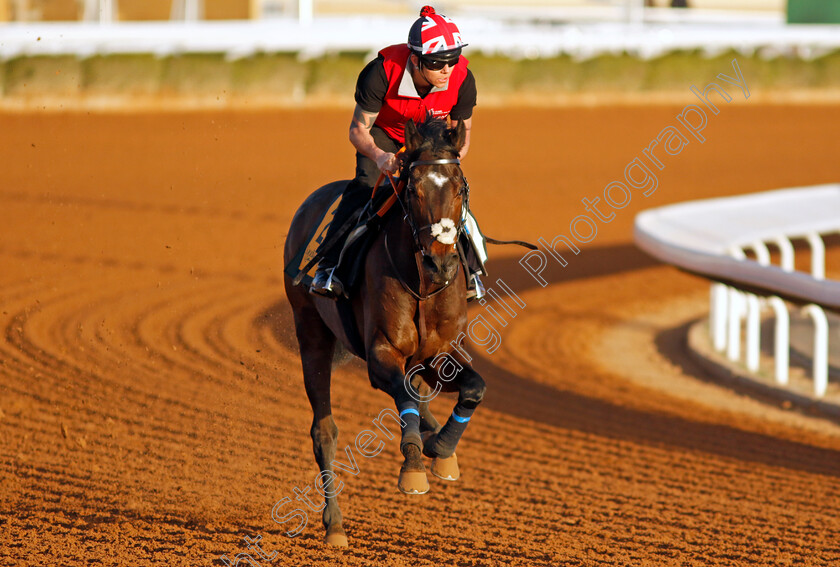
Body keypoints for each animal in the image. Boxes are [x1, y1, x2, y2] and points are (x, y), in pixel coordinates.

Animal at [284, 117, 486, 548]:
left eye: (459, 187)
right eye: (413, 188)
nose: (441, 264)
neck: (424, 283)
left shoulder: (440, 352)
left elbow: (474, 388)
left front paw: (441, 447)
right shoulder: (381, 354)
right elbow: (404, 396)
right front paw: (413, 468)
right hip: (309, 328)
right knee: (324, 430)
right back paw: (335, 525)